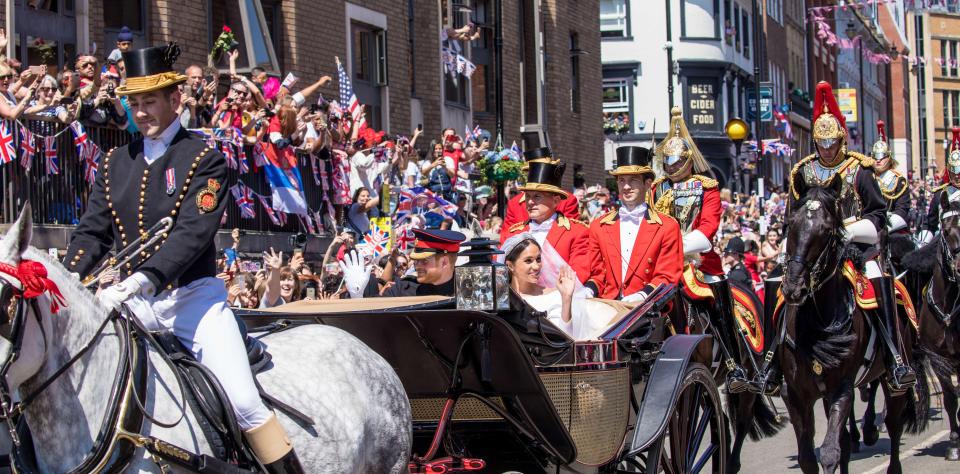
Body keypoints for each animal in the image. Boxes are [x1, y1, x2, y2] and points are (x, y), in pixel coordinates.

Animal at [780, 183, 928, 474]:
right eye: (791, 223)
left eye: (827, 230)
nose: (793, 287)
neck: (819, 323)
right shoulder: (797, 394)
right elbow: (808, 457)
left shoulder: (842, 388)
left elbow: (830, 452)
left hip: (893, 376)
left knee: (893, 424)